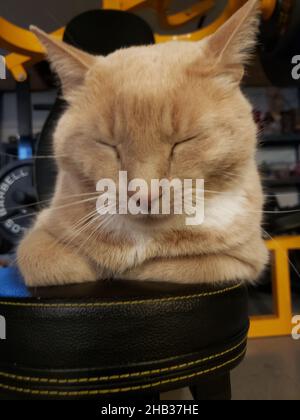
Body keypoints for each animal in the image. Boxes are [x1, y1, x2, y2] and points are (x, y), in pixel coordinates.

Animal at [17, 0, 268, 286]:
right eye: (109, 145)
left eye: (183, 141)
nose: (144, 195)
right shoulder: (41, 232)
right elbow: (48, 261)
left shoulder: (241, 259)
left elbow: (167, 267)